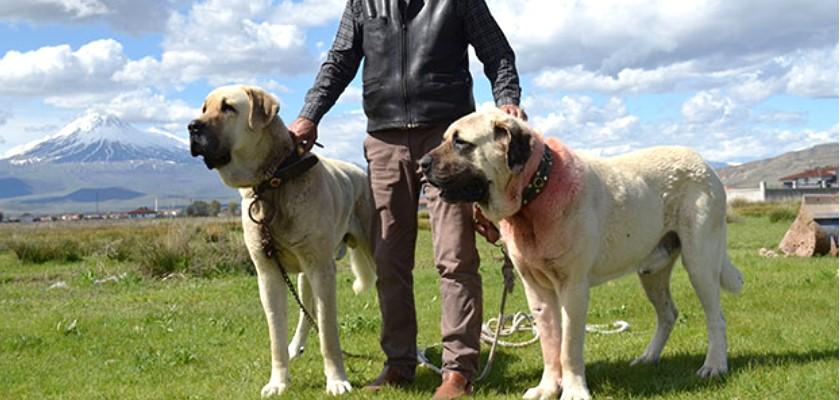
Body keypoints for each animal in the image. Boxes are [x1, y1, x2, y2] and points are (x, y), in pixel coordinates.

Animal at [190, 85, 378, 396]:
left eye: (228, 107)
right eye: (204, 109)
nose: (192, 126)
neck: (273, 182)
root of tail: (360, 173)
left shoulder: (322, 270)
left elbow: (329, 333)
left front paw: (336, 380)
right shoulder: (269, 274)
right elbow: (275, 336)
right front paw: (278, 382)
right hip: (304, 275)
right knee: (306, 311)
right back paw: (296, 346)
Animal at [424, 109, 744, 400]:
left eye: (461, 142)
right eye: (444, 138)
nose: (422, 163)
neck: (535, 190)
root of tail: (704, 163)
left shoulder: (573, 288)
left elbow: (568, 347)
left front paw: (574, 391)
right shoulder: (537, 291)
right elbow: (550, 344)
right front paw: (547, 388)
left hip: (700, 260)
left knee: (716, 317)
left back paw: (714, 366)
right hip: (652, 271)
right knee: (668, 314)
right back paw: (648, 358)